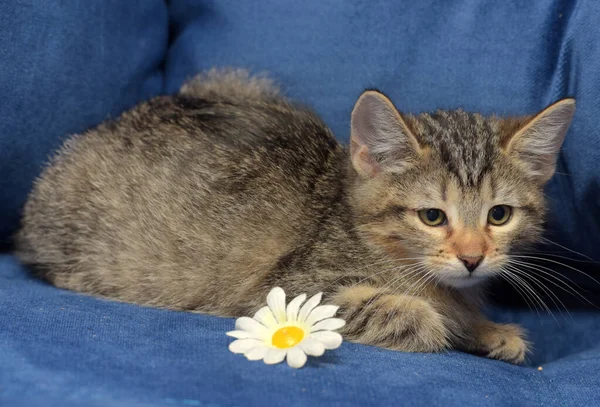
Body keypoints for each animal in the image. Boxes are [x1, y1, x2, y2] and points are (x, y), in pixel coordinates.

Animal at [16, 68, 576, 364]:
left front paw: (489, 327)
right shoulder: (287, 291)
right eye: (433, 217)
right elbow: (420, 318)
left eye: (499, 215)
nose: (473, 258)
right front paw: (452, 322)